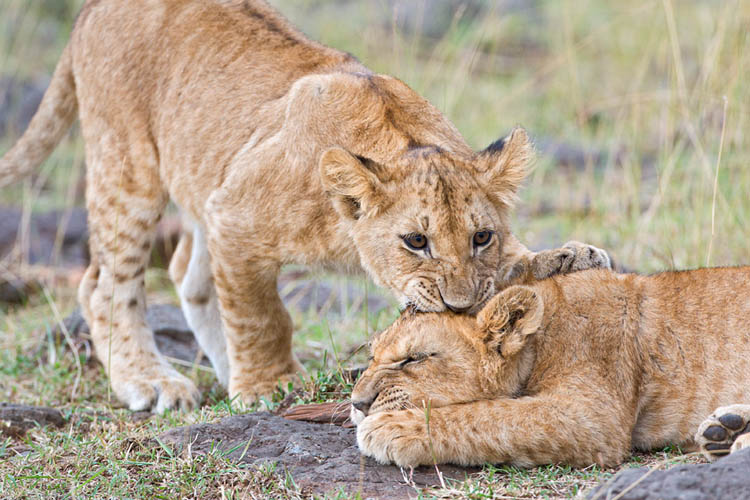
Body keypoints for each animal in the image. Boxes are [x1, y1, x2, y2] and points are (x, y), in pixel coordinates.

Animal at [0, 0, 609, 413]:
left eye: (482, 237)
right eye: (416, 241)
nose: (460, 304)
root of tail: (92, 8)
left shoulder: (220, 207)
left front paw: (566, 258)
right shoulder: (235, 215)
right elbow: (260, 314)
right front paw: (270, 386)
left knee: (186, 273)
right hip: (127, 165)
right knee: (106, 283)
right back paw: (150, 381)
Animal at [351, 266, 750, 467]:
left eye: (414, 358)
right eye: (372, 356)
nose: (356, 404)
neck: (540, 338)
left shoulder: (593, 415)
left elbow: (489, 415)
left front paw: (391, 429)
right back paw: (726, 430)